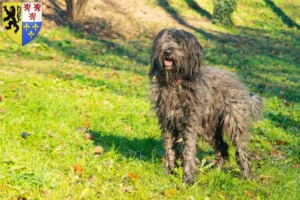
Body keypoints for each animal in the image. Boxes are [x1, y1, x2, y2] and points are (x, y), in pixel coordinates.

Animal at [149, 28, 262, 184]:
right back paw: (217, 170)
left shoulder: (190, 124)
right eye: (165, 40)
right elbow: (169, 148)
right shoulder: (167, 123)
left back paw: (247, 175)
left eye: (180, 43)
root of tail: (240, 85)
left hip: (234, 123)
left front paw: (188, 179)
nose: (167, 52)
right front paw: (169, 171)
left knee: (241, 149)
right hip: (209, 128)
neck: (175, 83)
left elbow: (188, 151)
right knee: (222, 147)